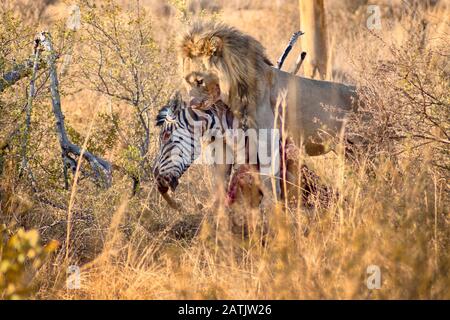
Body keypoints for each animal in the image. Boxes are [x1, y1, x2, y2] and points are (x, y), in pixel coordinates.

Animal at [179, 21, 358, 204]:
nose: (192, 104)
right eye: (186, 80)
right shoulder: (222, 145)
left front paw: (274, 209)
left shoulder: (267, 140)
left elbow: (270, 184)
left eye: (199, 81)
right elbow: (221, 184)